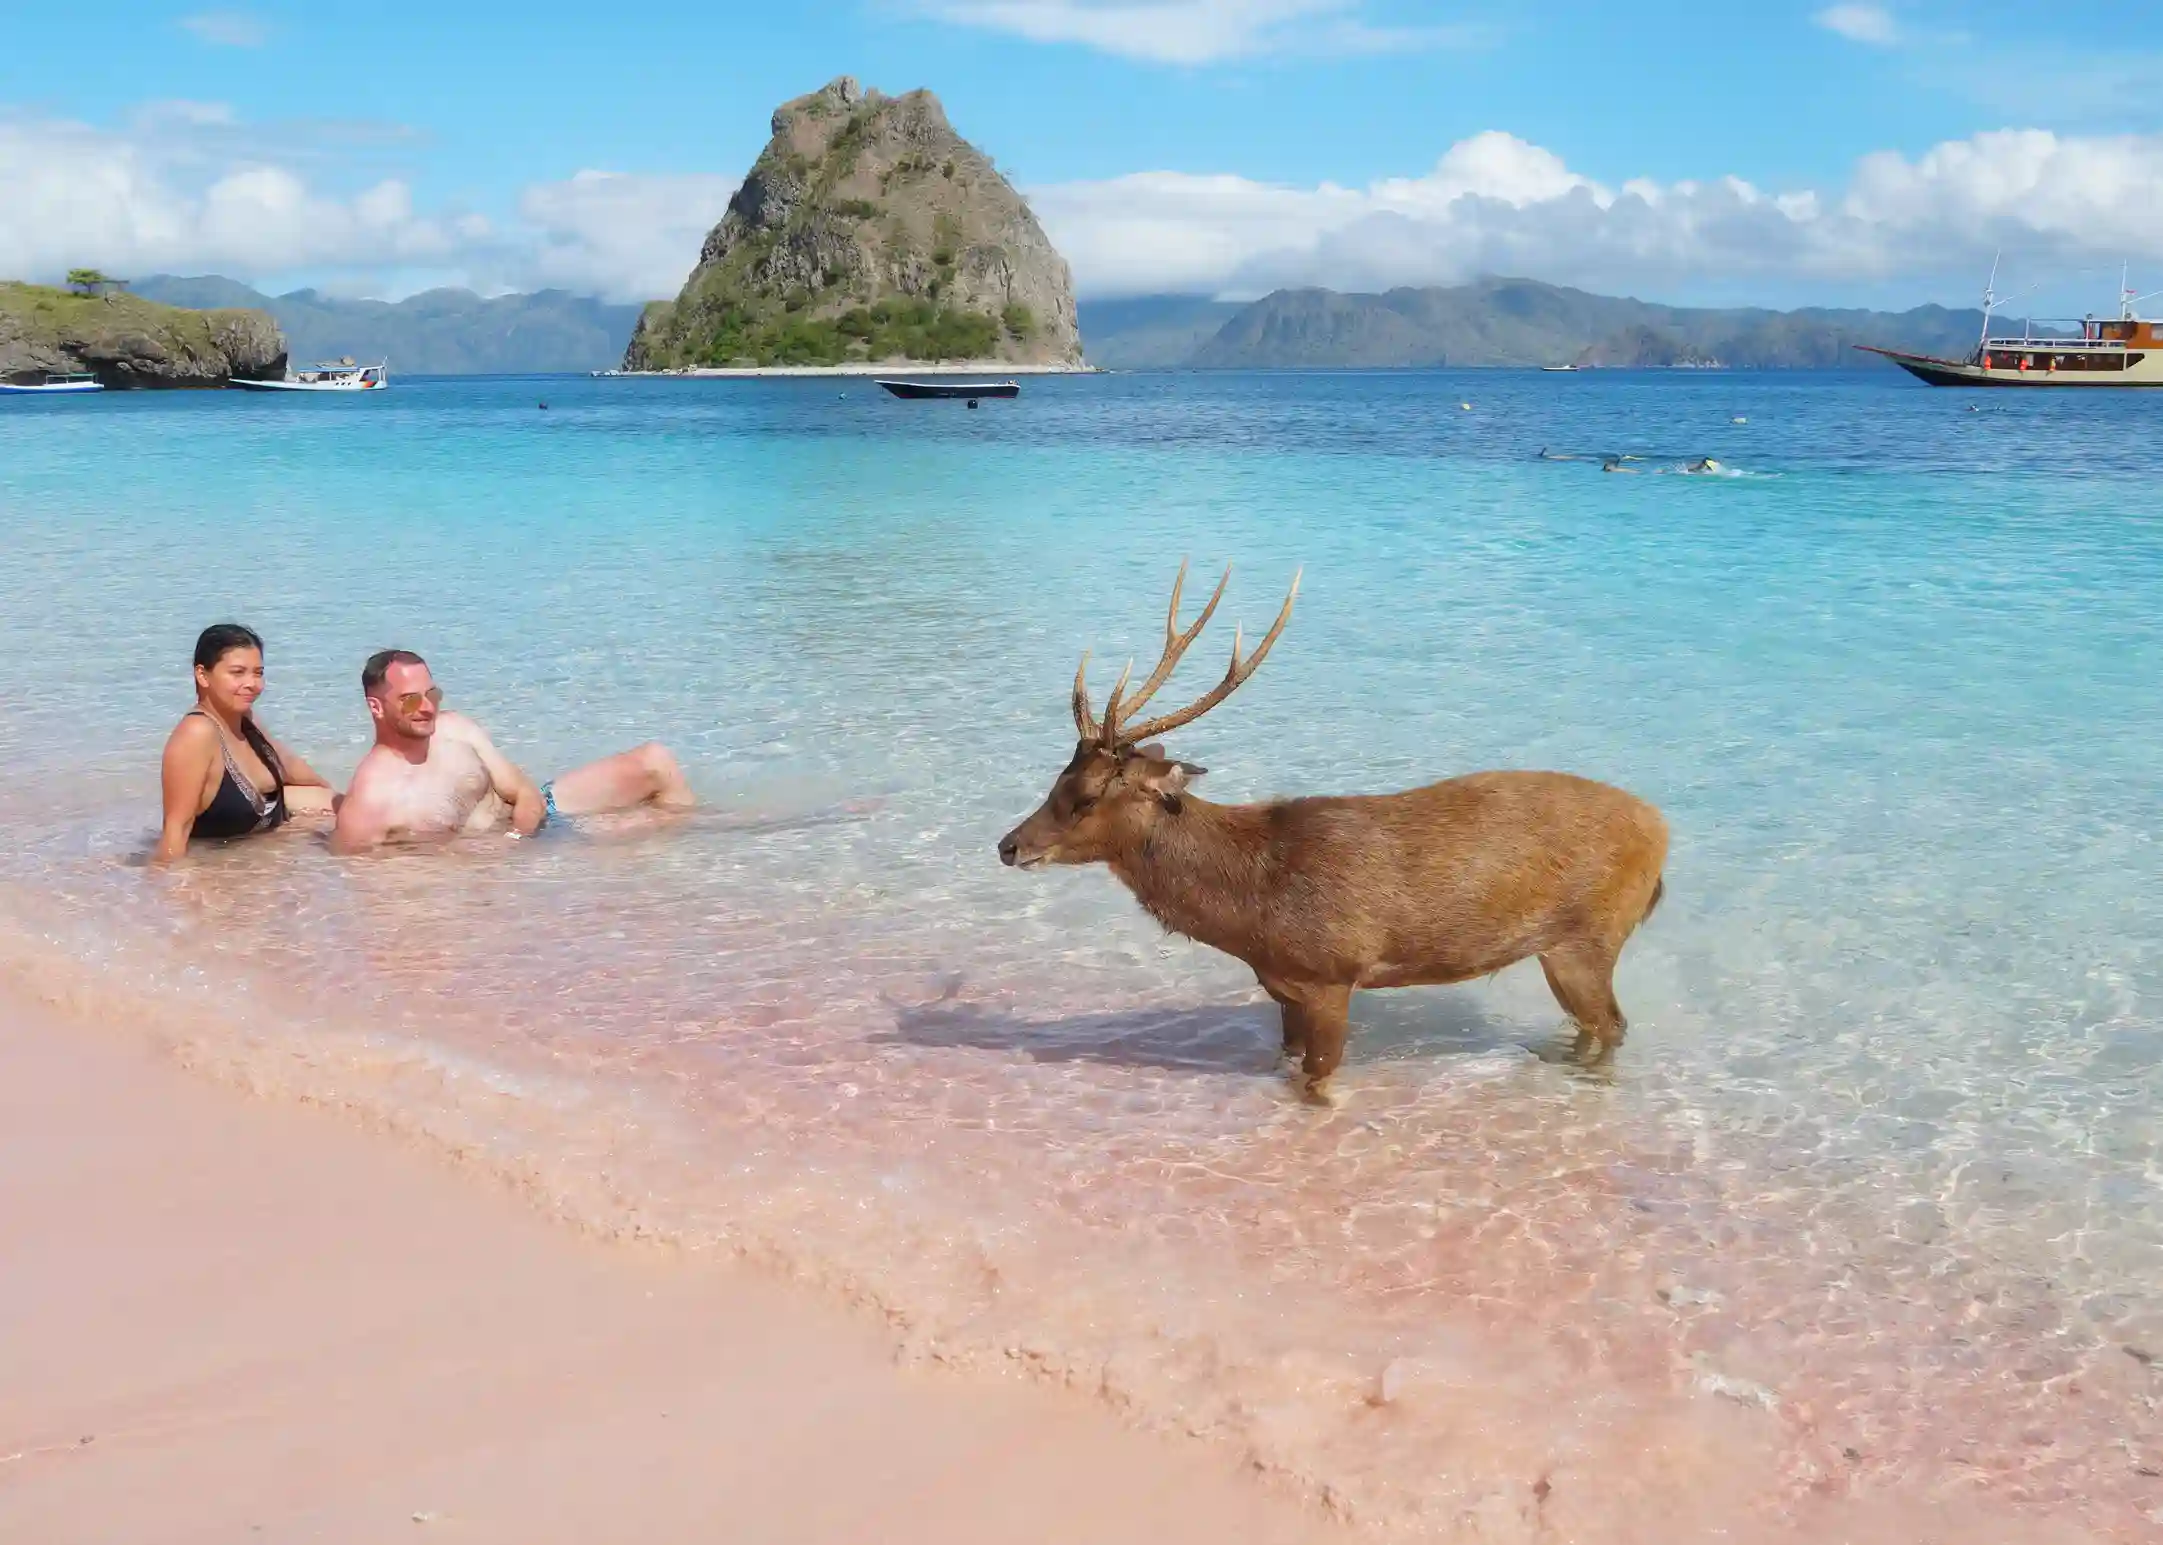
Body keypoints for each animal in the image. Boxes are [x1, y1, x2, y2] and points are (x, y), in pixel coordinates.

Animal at [994, 558, 1669, 1090]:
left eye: (1085, 796)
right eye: (1056, 777)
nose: (1008, 845)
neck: (1251, 908)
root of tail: (1664, 837)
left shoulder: (1331, 976)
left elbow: (1317, 1084)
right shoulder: (1282, 987)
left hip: (1589, 937)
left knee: (1613, 1024)